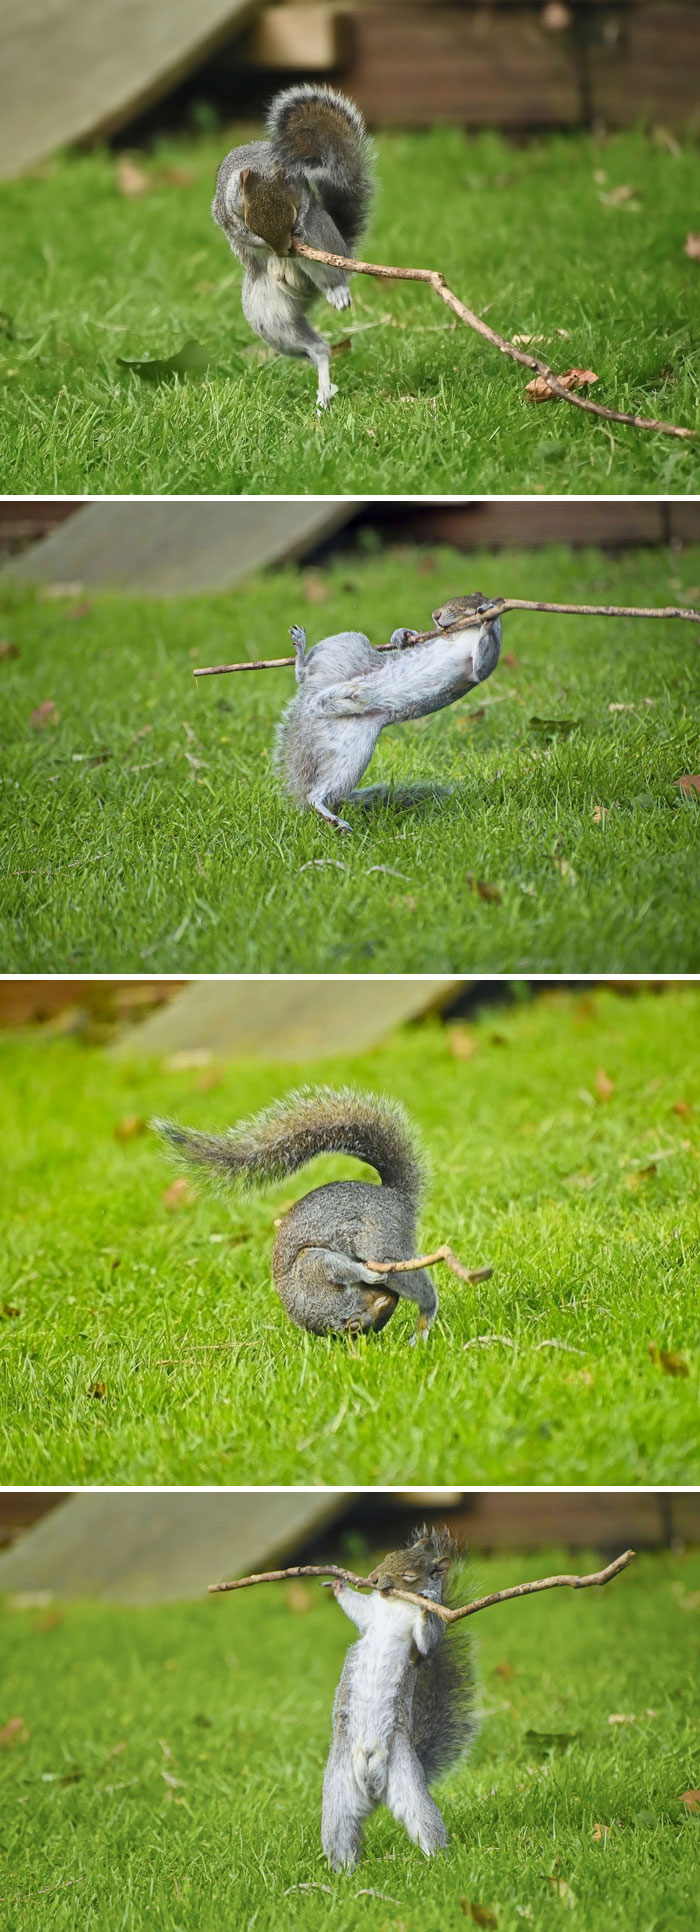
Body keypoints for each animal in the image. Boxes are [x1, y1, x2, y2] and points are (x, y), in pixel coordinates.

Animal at [154, 1089, 437, 1344]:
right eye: (359, 1326)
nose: (391, 1298)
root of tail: (396, 1196)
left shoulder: (313, 1265)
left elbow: (339, 1266)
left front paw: (366, 1274)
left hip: (379, 1242)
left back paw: (424, 1320)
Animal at [211, 83, 371, 407]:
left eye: (294, 212)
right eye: (248, 221)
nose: (282, 250)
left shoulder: (302, 193)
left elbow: (307, 205)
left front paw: (298, 228)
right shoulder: (224, 210)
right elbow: (236, 232)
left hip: (324, 243)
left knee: (332, 277)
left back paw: (336, 290)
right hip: (270, 319)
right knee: (318, 349)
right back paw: (324, 391)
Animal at [274, 587, 502, 830]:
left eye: (466, 605)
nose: (436, 615)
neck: (463, 633)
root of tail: (311, 701)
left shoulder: (480, 666)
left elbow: (481, 664)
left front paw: (488, 617)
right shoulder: (436, 641)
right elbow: (421, 643)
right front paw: (402, 635)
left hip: (352, 751)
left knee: (319, 792)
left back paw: (329, 814)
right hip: (344, 649)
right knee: (305, 673)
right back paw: (301, 652)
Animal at [320, 1522, 475, 1870]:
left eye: (409, 1575)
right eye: (387, 1555)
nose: (373, 1578)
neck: (395, 1605)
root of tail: (374, 1792)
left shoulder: (422, 1640)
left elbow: (427, 1640)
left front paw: (426, 1603)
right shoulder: (371, 1614)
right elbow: (359, 1610)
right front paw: (338, 1582)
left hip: (407, 1782)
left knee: (424, 1824)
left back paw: (437, 1863)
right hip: (338, 1795)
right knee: (341, 1834)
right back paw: (344, 1873)